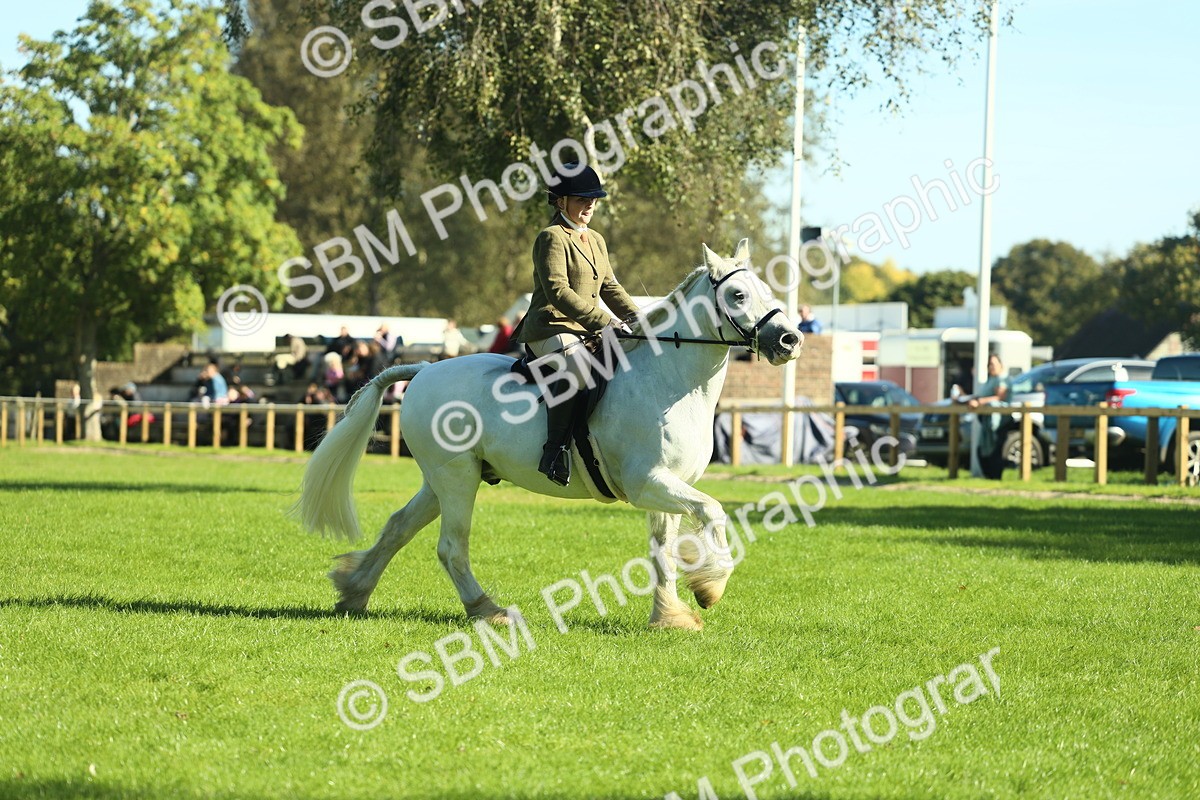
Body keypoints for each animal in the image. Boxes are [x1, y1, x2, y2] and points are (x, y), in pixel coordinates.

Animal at [294, 239, 804, 630]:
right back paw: (489, 611)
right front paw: (711, 587)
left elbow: (663, 553)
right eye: (737, 295)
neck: (671, 381)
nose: (789, 340)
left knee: (399, 526)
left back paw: (353, 592)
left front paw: (669, 617)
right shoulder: (648, 484)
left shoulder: (668, 486)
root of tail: (422, 369)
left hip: (445, 479)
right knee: (451, 547)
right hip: (457, 479)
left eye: (767, 290)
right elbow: (714, 512)